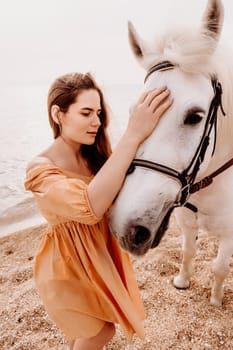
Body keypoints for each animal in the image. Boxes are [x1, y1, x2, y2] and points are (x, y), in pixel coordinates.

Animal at [110, 0, 233, 306]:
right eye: (133, 112)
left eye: (195, 116)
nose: (126, 229)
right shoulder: (186, 221)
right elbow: (188, 252)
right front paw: (182, 281)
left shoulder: (230, 234)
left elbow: (219, 266)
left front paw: (215, 300)